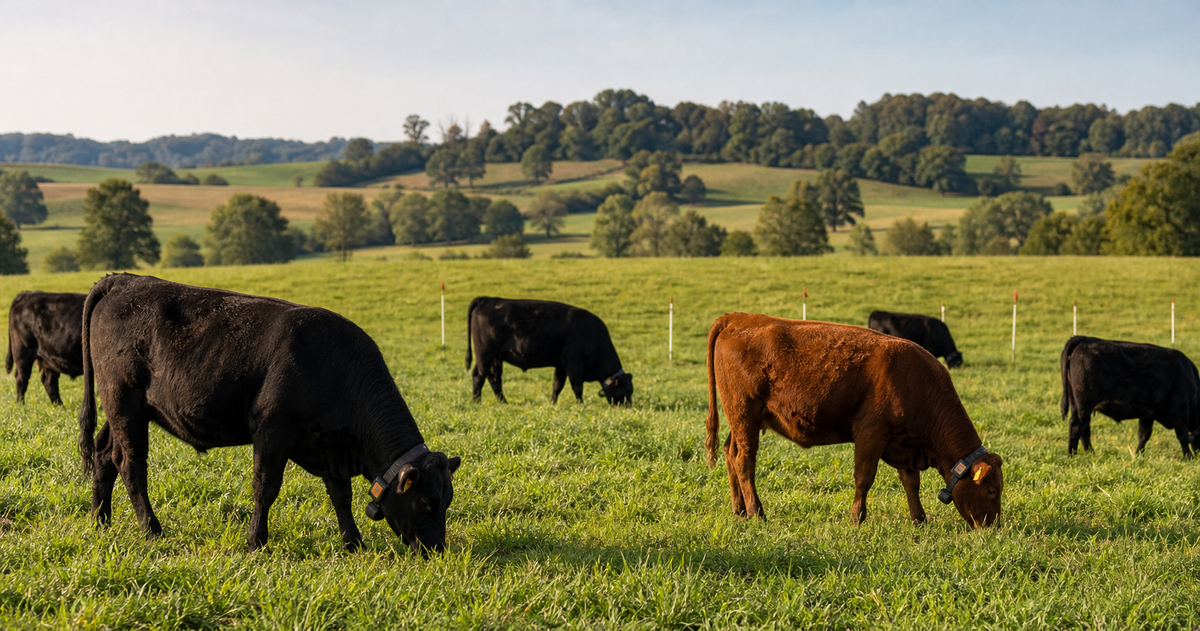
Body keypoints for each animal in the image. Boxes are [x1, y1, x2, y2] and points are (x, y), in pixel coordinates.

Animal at [77, 273, 462, 553]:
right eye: (426, 502)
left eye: (447, 500)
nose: (436, 550)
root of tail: (124, 280)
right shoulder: (272, 432)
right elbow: (265, 488)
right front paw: (255, 542)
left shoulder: (330, 446)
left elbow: (341, 496)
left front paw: (354, 543)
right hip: (123, 401)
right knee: (130, 464)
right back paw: (152, 529)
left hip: (125, 410)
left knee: (104, 453)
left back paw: (100, 521)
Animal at [465, 297, 632, 405]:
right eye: (625, 392)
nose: (628, 406)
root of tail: (488, 299)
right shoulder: (574, 364)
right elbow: (577, 387)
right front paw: (581, 404)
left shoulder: (561, 366)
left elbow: (557, 386)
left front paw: (553, 403)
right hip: (485, 355)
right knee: (479, 376)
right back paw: (476, 401)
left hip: (494, 358)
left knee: (493, 379)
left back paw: (503, 402)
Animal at [705, 313, 1003, 528]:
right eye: (991, 491)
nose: (994, 528)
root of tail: (738, 318)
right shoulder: (870, 435)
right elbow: (864, 478)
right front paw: (857, 518)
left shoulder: (904, 443)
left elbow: (911, 483)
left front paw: (919, 520)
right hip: (744, 414)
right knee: (744, 461)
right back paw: (756, 512)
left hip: (743, 421)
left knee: (730, 453)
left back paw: (739, 509)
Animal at [1060, 336, 1200, 458]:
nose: (1198, 456)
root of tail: (1085, 339)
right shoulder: (1179, 408)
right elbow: (1182, 434)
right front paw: (1188, 457)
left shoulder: (1148, 413)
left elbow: (1144, 435)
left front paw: (1138, 455)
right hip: (1084, 404)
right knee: (1076, 426)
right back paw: (1072, 455)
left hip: (1077, 404)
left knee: (1084, 429)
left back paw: (1091, 454)